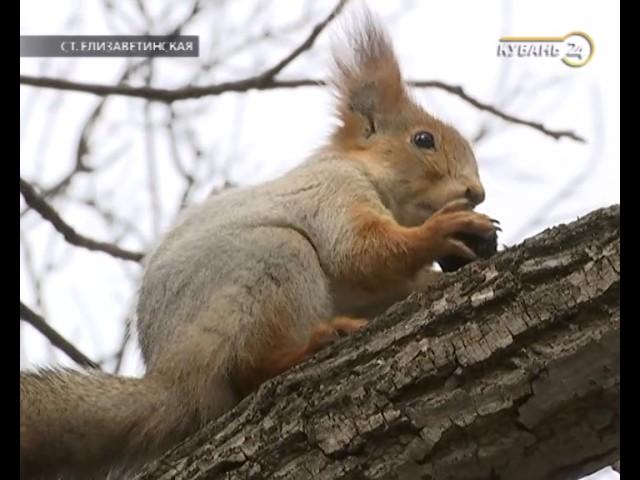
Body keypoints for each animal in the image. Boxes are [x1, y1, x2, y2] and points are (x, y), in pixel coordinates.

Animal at [18, 5, 496, 478]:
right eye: (423, 140)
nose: (476, 192)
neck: (367, 173)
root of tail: (173, 381)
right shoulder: (331, 191)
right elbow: (359, 252)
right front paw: (442, 231)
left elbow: (388, 281)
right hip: (272, 264)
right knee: (250, 369)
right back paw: (309, 346)